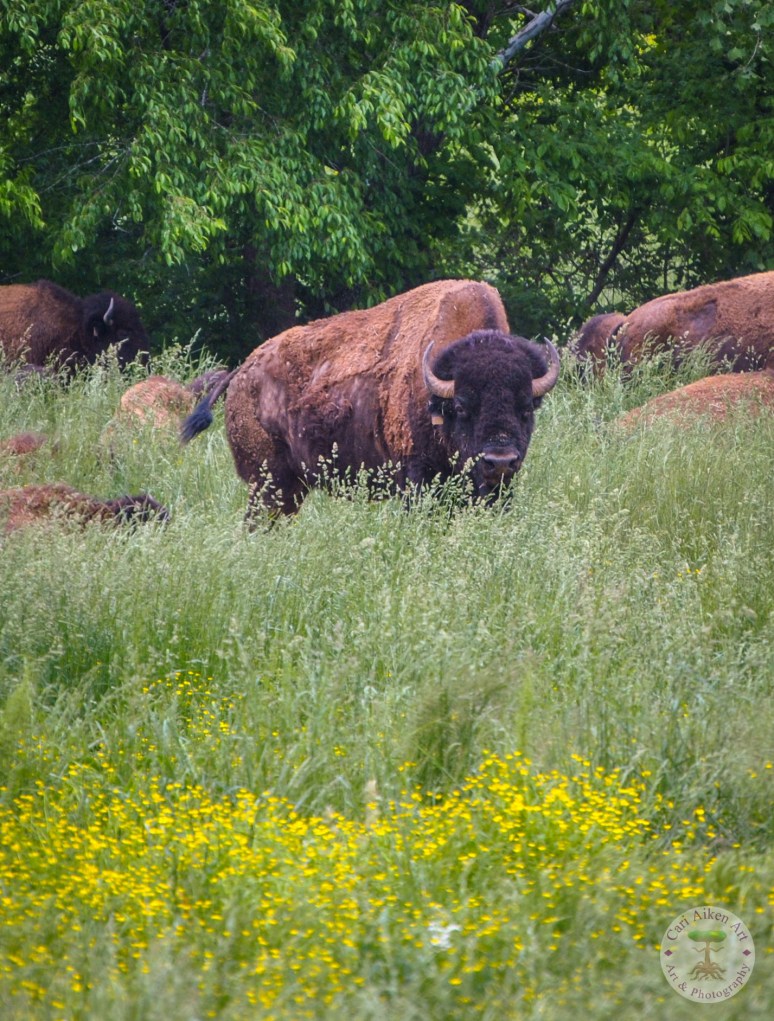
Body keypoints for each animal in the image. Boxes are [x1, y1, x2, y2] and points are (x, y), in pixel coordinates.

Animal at [181, 279, 560, 514]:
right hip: (269, 483)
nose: (500, 461)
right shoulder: (417, 477)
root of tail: (242, 372)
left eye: (526, 407)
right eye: (462, 406)